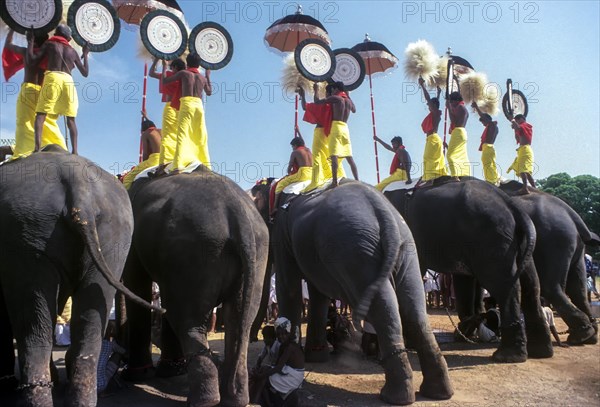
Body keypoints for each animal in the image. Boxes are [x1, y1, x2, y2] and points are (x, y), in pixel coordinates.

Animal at [120, 167, 268, 407]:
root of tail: (238, 213)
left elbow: (136, 282)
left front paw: (135, 376)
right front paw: (169, 371)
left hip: (193, 251)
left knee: (188, 320)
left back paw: (204, 401)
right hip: (256, 251)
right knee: (239, 322)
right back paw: (235, 399)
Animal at [251, 180, 452, 406]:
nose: (258, 337)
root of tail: (384, 213)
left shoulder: (283, 236)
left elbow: (290, 286)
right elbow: (317, 293)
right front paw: (316, 357)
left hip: (354, 251)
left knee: (383, 308)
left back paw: (393, 396)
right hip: (405, 249)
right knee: (413, 307)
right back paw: (437, 392)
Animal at [384, 178, 552, 364]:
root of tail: (513, 207)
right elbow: (463, 280)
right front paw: (464, 330)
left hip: (491, 237)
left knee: (505, 286)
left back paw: (507, 356)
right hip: (509, 242)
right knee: (531, 285)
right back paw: (541, 352)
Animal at [496, 182, 600, 344]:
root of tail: (571, 214)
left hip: (553, 239)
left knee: (551, 287)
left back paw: (580, 335)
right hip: (573, 244)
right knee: (578, 289)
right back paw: (590, 336)